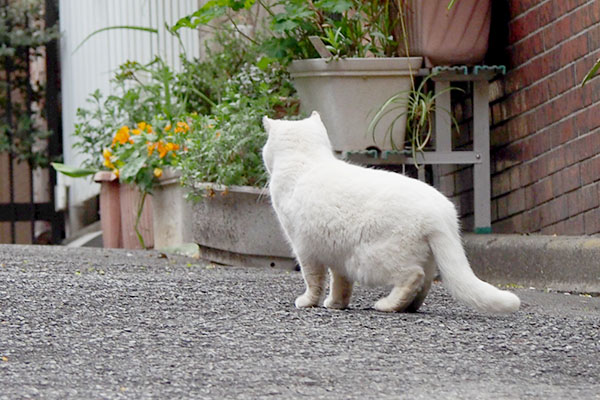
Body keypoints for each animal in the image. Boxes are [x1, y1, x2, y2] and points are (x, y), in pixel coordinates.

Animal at [262, 111, 520, 312]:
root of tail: (439, 212)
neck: (305, 161)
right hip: (423, 258)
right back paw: (408, 307)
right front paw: (336, 304)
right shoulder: (335, 253)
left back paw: (388, 305)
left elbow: (313, 280)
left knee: (413, 277)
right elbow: (340, 284)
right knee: (424, 284)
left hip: (375, 258)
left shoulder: (304, 249)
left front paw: (308, 302)